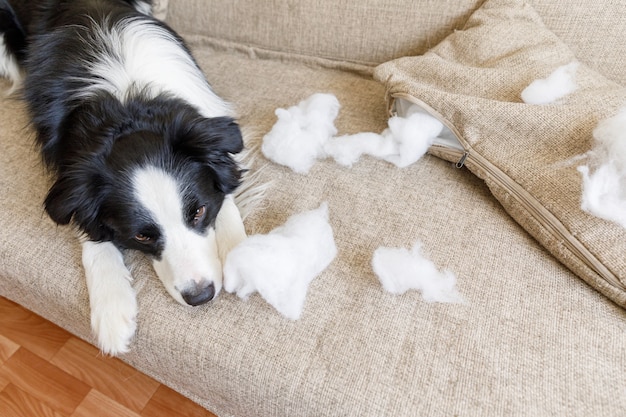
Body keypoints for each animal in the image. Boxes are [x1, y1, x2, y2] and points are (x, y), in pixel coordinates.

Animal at [0, 0, 249, 354]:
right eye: (142, 236)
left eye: (199, 212)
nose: (200, 296)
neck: (126, 104)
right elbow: (89, 230)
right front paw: (112, 309)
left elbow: (225, 196)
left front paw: (245, 260)